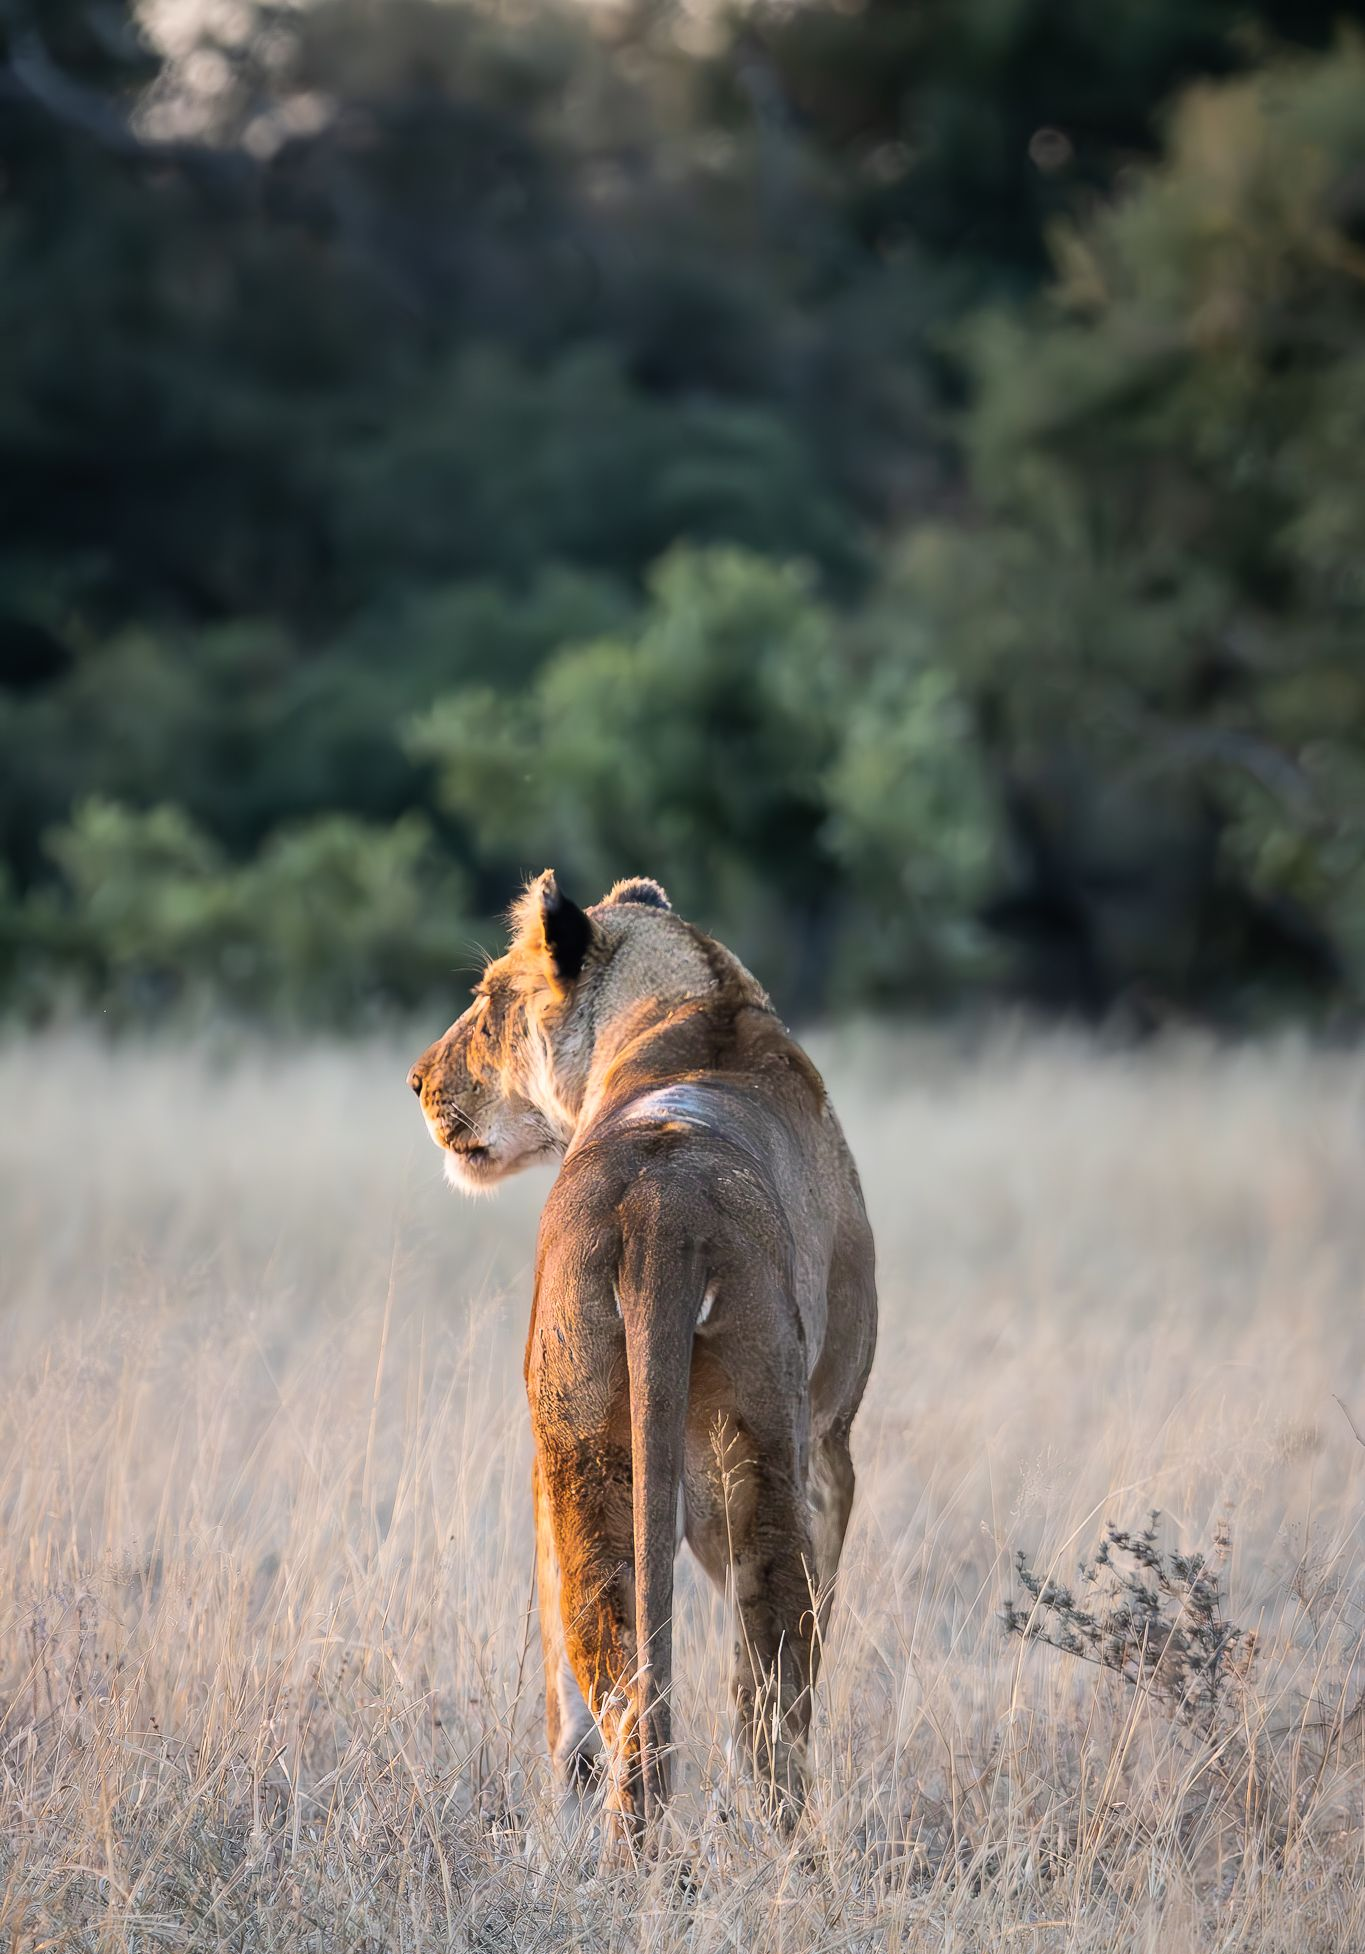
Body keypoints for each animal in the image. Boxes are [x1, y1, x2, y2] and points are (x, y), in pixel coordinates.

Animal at [408, 871, 877, 1852]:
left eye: (485, 1001)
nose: (417, 1079)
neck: (695, 1005)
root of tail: (663, 1209)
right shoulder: (832, 1440)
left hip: (581, 1452)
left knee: (624, 1685)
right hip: (758, 1453)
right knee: (764, 1695)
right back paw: (779, 1850)